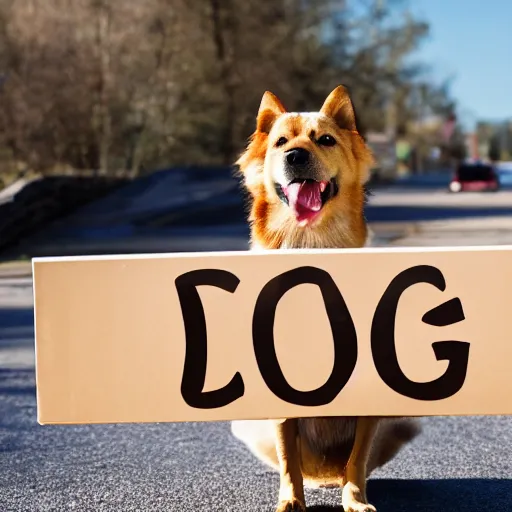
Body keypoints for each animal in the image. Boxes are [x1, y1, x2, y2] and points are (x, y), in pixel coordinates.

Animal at [232, 87, 420, 512]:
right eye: (281, 142)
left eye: (326, 140)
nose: (295, 156)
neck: (312, 247)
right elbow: (288, 457)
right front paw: (290, 500)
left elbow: (357, 458)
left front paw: (355, 499)